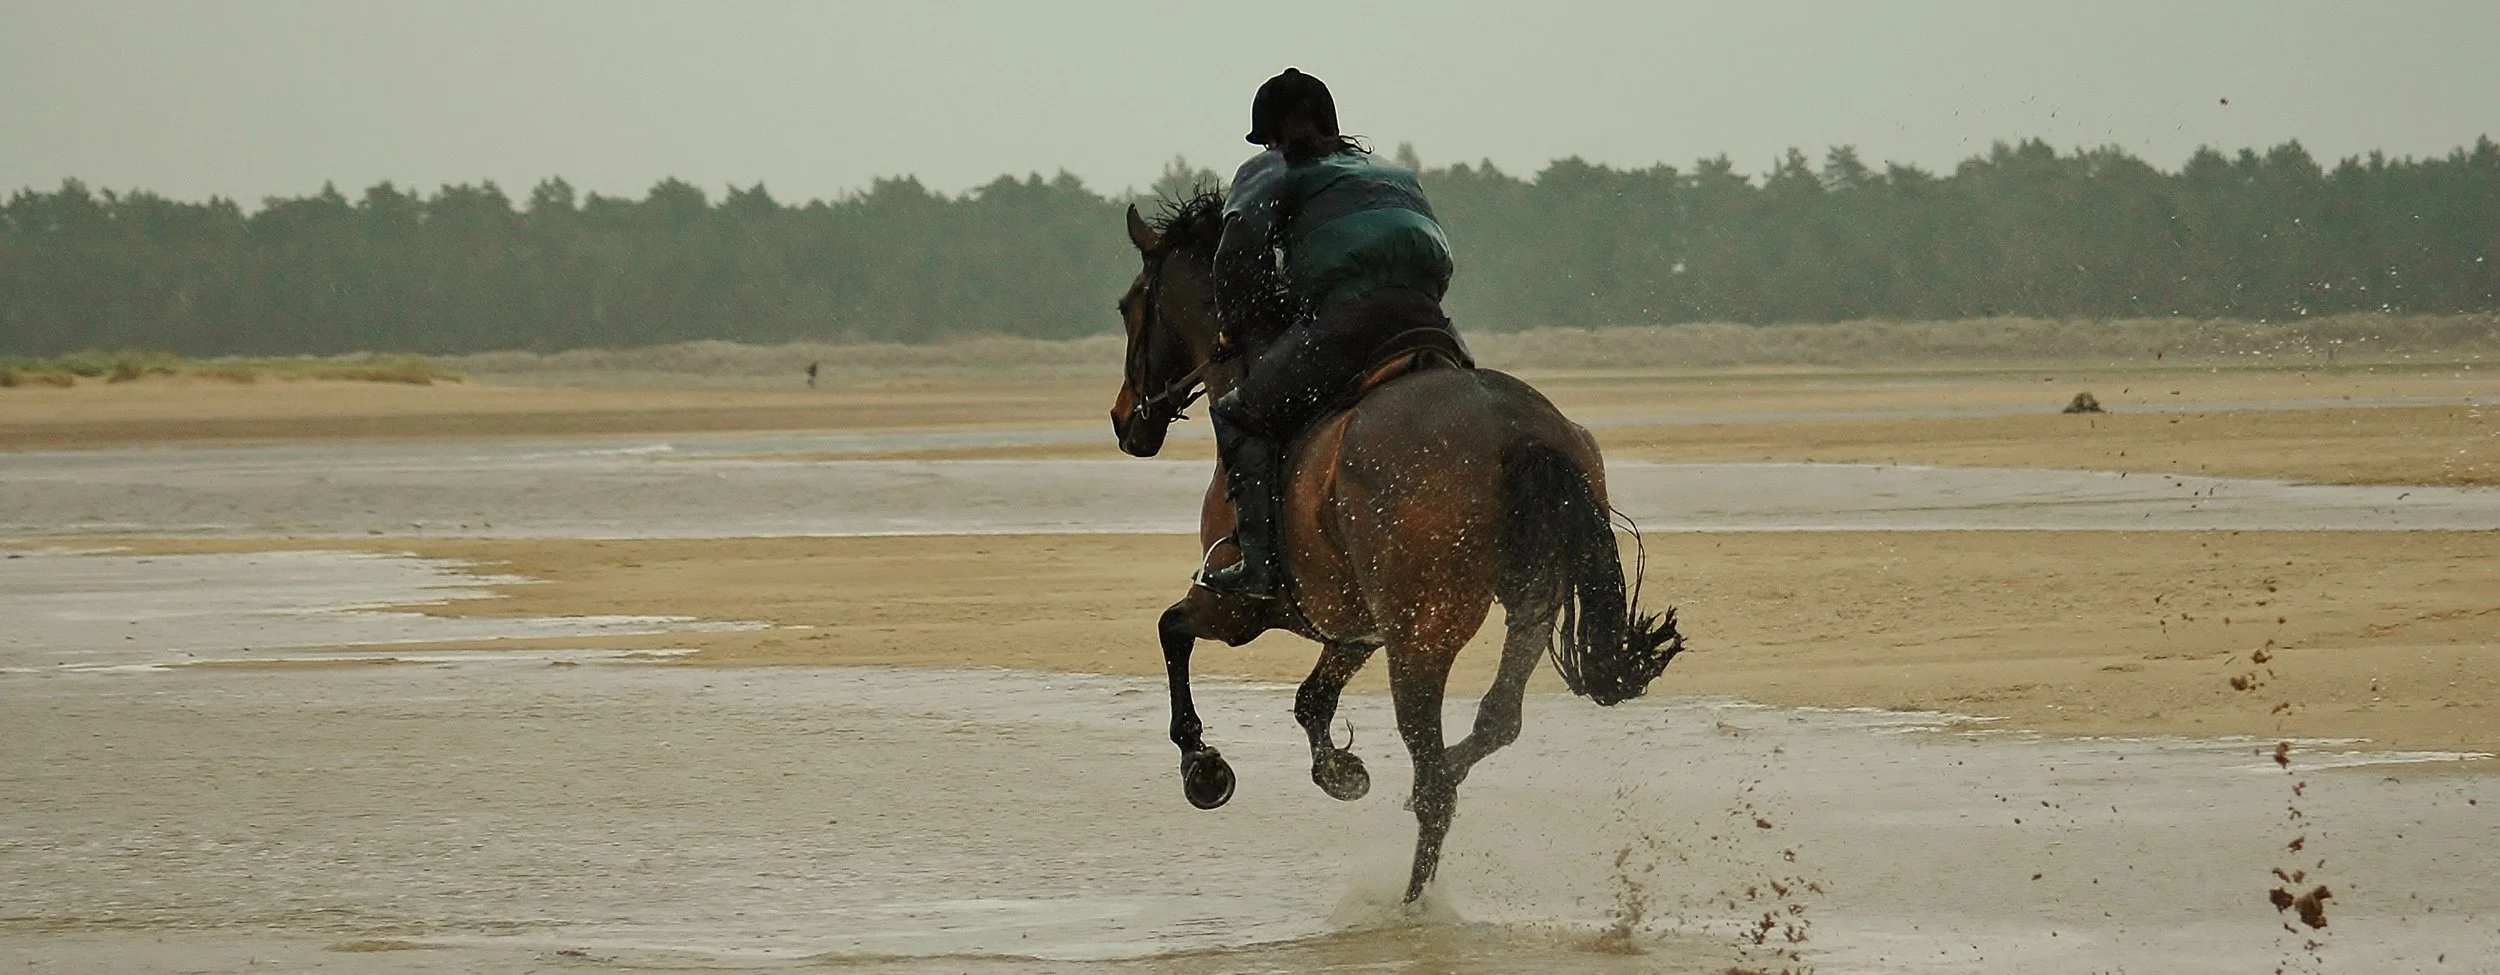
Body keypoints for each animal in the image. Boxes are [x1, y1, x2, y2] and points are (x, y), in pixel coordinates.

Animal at [1109, 192, 1685, 904]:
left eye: (1130, 305)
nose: (1124, 419)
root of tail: (1514, 428)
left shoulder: (1241, 607)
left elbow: (1173, 631)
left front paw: (1203, 766)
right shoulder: (1355, 624)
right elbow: (1311, 700)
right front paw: (1339, 771)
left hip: (1420, 646)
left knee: (1435, 779)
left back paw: (1413, 901)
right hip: (1524, 608)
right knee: (1496, 721)